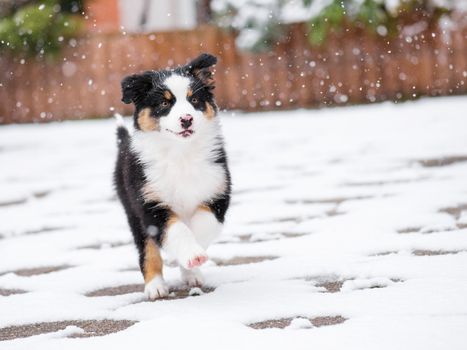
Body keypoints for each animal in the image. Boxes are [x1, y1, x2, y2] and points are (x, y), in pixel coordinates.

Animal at [113, 53, 230, 300]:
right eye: (165, 103)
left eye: (194, 100)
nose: (186, 119)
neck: (180, 153)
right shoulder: (150, 205)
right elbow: (177, 231)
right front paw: (192, 254)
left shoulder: (217, 192)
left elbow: (202, 225)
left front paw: (192, 261)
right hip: (132, 210)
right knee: (147, 250)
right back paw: (155, 287)